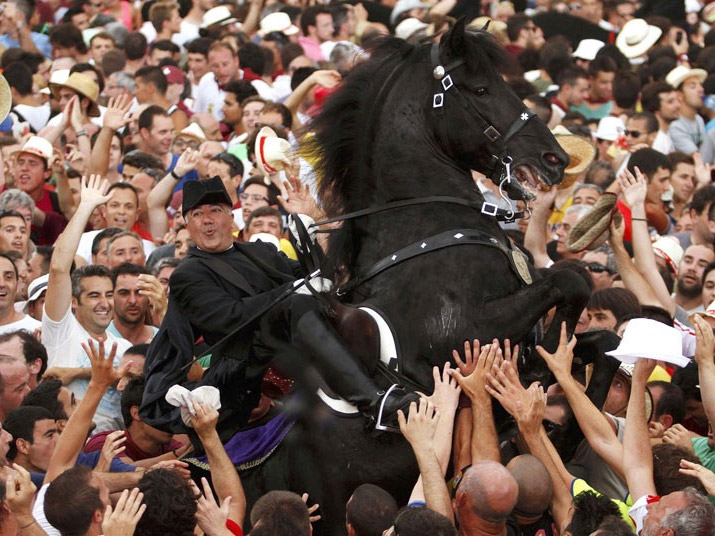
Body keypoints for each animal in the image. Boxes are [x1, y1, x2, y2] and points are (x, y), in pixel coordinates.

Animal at [187, 19, 592, 532]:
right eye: (481, 88)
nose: (554, 159)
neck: (425, 224)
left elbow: (576, 282)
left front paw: (554, 357)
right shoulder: (469, 331)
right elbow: (568, 279)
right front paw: (551, 353)